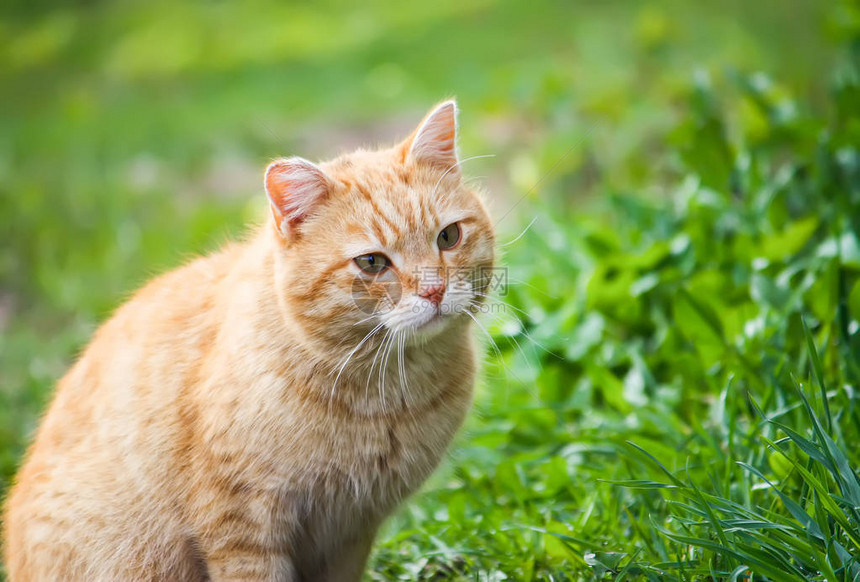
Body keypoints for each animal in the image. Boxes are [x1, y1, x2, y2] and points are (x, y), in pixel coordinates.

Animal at [3, 102, 494, 580]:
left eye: (449, 236)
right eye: (372, 263)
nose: (434, 290)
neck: (386, 394)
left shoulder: (351, 530)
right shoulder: (241, 521)